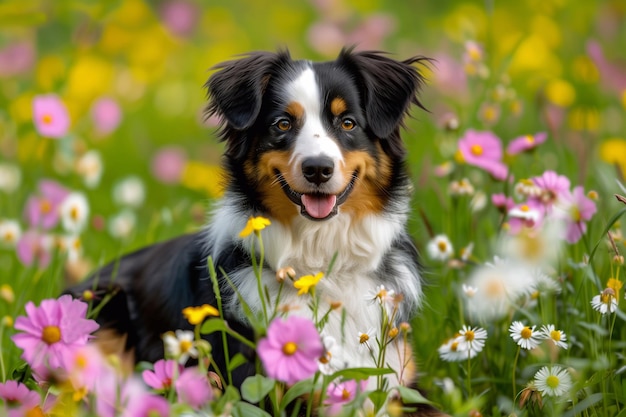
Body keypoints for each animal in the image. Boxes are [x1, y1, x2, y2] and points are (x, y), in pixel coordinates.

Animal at [66, 48, 442, 412]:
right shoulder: (261, 389)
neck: (319, 263)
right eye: (283, 123)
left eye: (348, 122)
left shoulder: (402, 385)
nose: (318, 169)